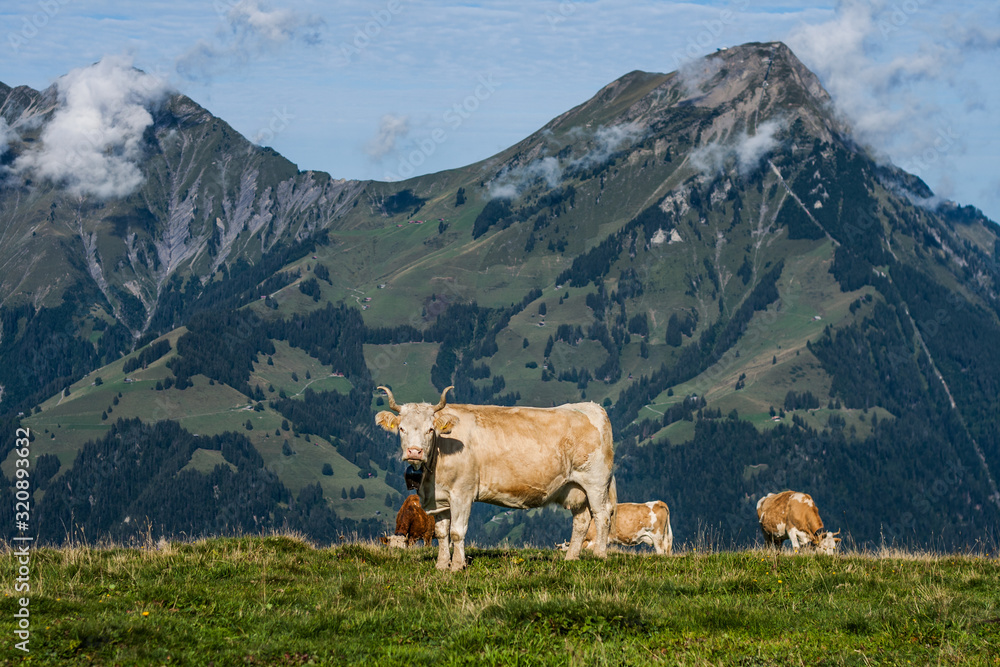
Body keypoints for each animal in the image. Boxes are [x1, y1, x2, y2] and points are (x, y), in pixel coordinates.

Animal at [376, 388, 616, 572]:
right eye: (401, 429)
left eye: (430, 429)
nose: (414, 452)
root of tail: (593, 407)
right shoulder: (440, 498)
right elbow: (442, 533)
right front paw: (442, 565)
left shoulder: (462, 493)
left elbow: (457, 532)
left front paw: (457, 566)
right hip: (574, 488)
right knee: (581, 520)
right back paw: (571, 558)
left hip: (596, 482)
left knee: (602, 515)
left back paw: (600, 555)